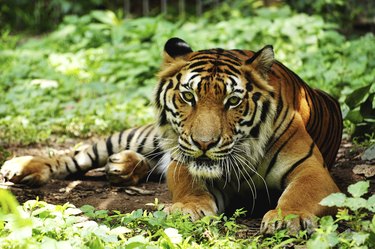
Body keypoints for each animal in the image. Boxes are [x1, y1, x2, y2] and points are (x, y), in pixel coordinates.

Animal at [0, 37, 344, 233]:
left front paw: (288, 218)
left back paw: (122, 167)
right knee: (77, 153)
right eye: (188, 96)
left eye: (233, 101)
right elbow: (187, 183)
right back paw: (23, 167)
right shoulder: (183, 159)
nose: (204, 143)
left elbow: (300, 193)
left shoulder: (311, 169)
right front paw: (188, 209)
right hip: (140, 136)